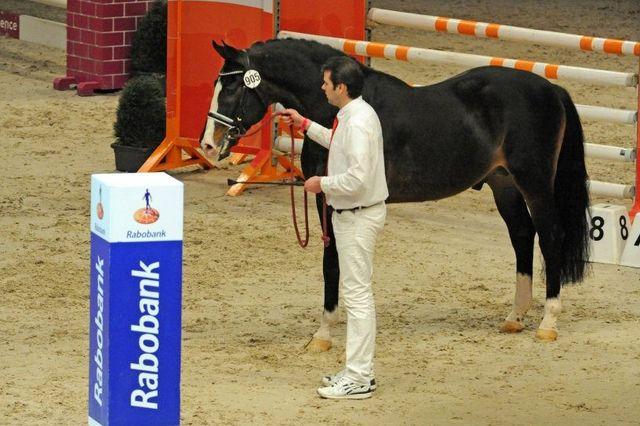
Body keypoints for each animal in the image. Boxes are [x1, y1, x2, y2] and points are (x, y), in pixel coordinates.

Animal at [201, 38, 592, 346]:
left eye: (232, 89)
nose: (208, 144)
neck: (338, 112)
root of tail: (552, 90)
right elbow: (335, 262)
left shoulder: (336, 199)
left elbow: (333, 263)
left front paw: (324, 334)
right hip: (504, 184)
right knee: (522, 235)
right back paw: (515, 317)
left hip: (534, 182)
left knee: (550, 236)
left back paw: (548, 322)